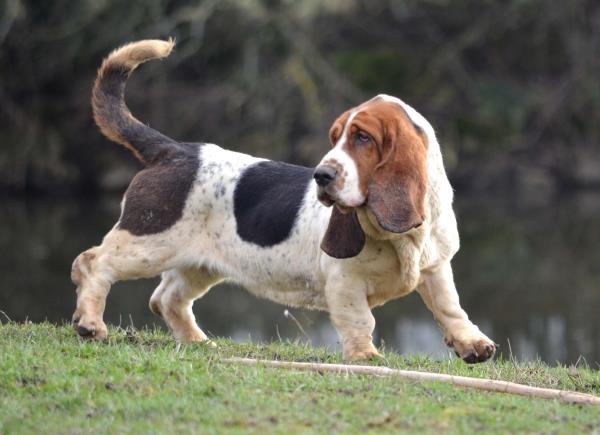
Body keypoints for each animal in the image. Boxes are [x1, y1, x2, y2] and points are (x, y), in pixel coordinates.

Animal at [71, 38, 496, 364]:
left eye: (363, 138)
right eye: (335, 137)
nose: (322, 175)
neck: (397, 237)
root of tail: (174, 151)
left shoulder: (436, 269)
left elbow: (450, 308)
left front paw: (472, 344)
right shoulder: (345, 282)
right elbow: (360, 320)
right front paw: (365, 357)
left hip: (198, 265)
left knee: (166, 298)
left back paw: (196, 341)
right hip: (149, 243)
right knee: (93, 263)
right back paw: (90, 323)